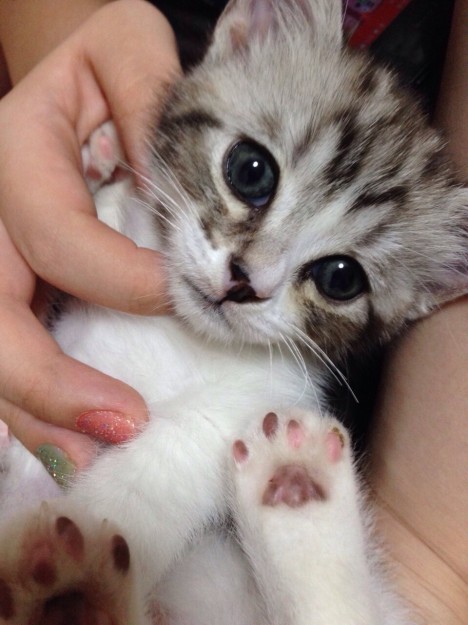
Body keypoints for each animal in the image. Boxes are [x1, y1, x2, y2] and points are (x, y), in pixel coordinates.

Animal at [0, 0, 467, 623]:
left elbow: (153, 475)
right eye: (250, 170)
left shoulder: (257, 398)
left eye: (341, 278)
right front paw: (100, 155)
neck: (181, 334)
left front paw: (85, 538)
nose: (246, 282)